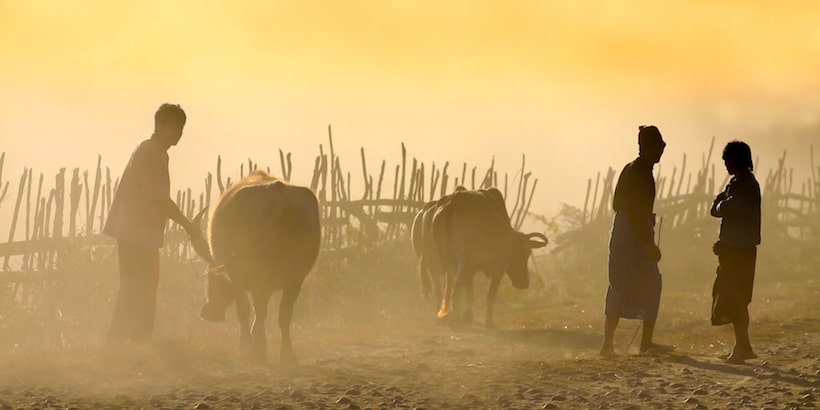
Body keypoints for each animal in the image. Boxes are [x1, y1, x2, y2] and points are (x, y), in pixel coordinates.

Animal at [193, 171, 320, 364]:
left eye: (212, 279)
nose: (208, 312)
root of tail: (278, 192)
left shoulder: (237, 279)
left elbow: (244, 310)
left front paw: (245, 346)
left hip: (258, 271)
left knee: (259, 308)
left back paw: (258, 348)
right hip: (295, 276)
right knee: (284, 313)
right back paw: (287, 354)